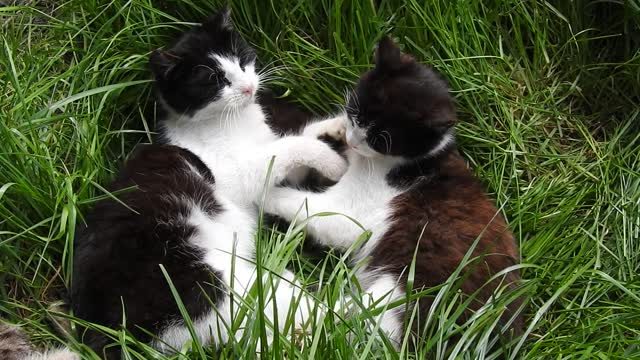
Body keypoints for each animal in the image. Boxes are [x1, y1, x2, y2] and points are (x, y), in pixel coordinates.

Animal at [72, 7, 348, 358]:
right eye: (214, 80)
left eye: (242, 59)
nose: (248, 88)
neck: (235, 121)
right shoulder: (237, 175)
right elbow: (286, 148)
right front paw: (333, 161)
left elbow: (295, 142)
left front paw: (337, 127)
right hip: (220, 285)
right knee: (312, 313)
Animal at [262, 36, 524, 346]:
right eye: (354, 114)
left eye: (378, 139)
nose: (351, 140)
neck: (414, 163)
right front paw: (328, 131)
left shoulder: (349, 213)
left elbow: (305, 205)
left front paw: (257, 190)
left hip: (402, 292)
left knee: (337, 322)